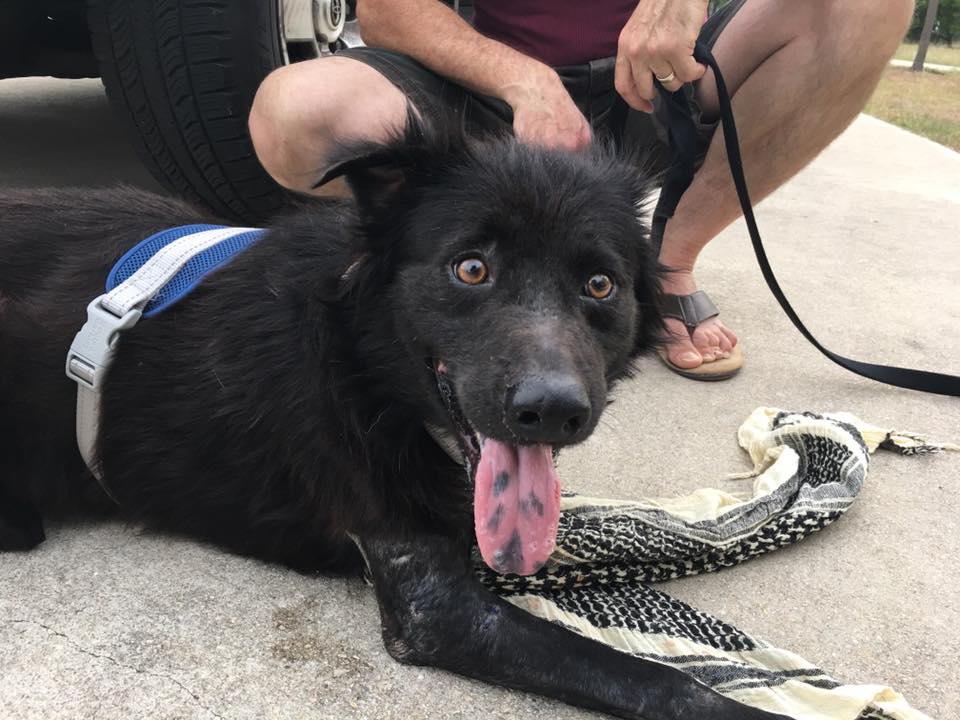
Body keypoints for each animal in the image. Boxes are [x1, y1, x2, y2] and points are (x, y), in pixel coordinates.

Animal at [0, 122, 786, 720]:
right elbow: (663, 682)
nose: (552, 411)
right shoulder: (435, 606)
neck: (368, 373)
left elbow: (645, 530)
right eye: (471, 269)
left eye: (600, 285)